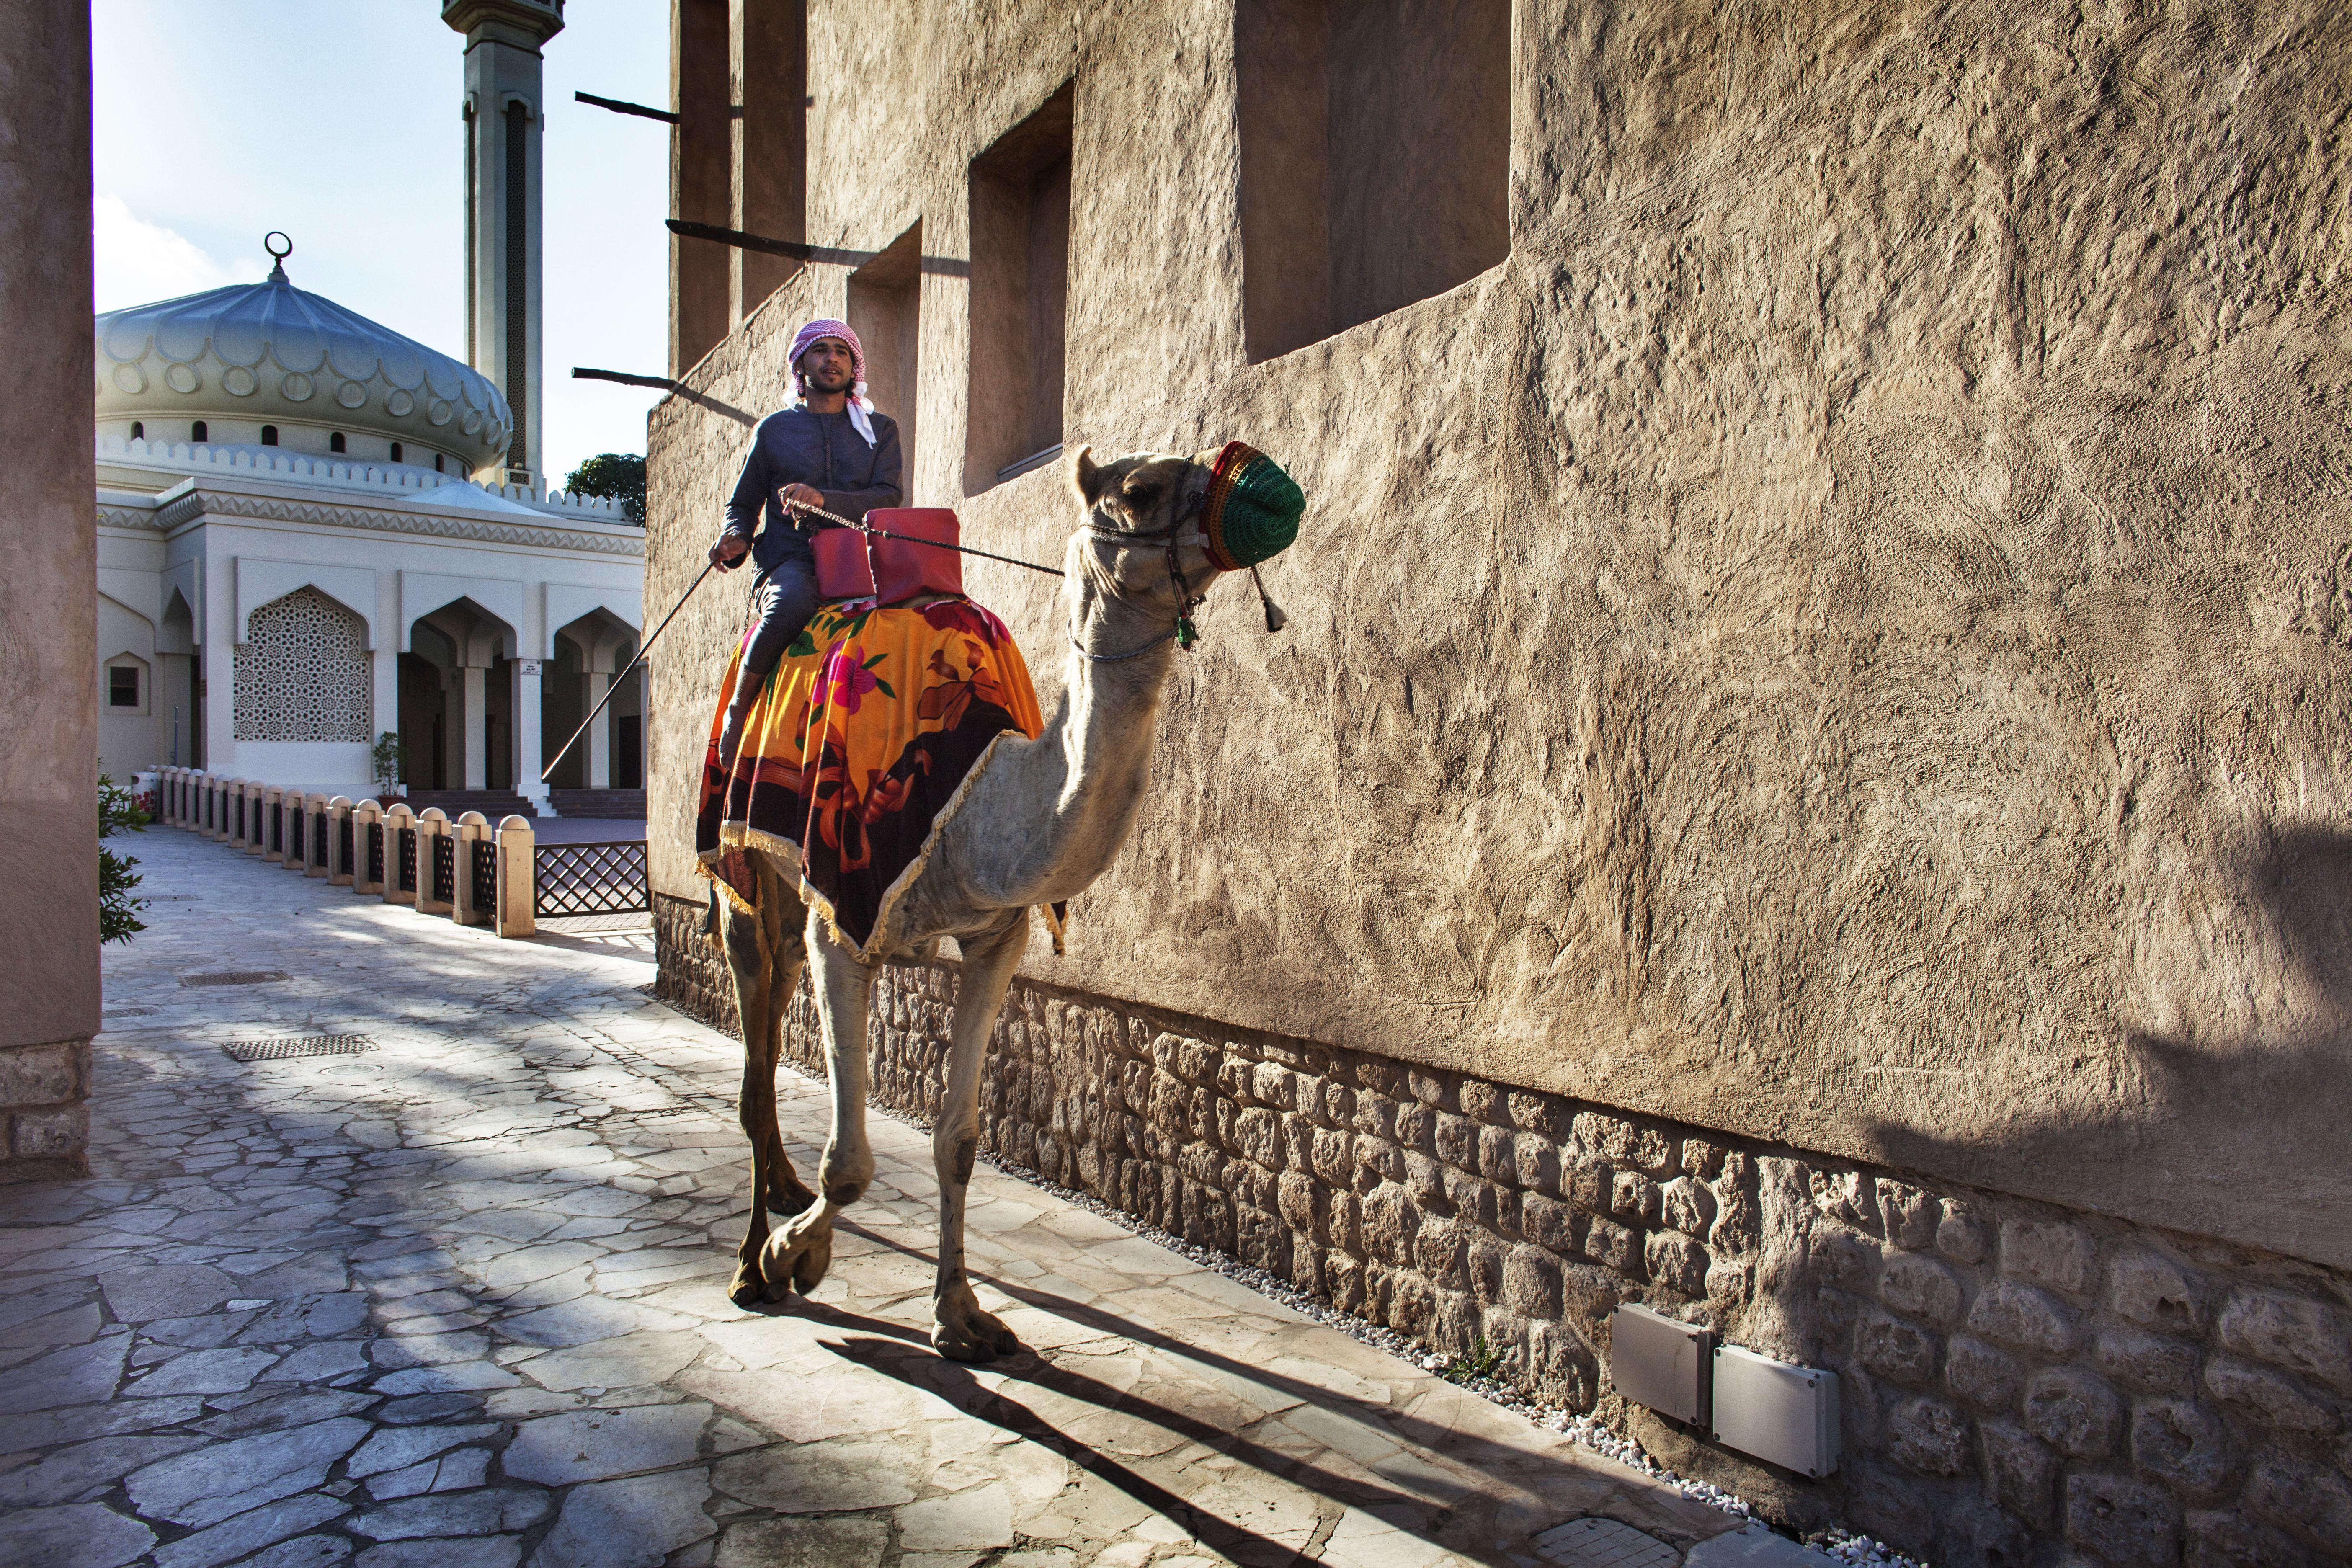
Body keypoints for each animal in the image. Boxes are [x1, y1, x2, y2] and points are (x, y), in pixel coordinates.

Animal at [715, 439, 1261, 1363]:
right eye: (1141, 488)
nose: (1247, 489)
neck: (976, 805)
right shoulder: (844, 919)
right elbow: (850, 1162)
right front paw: (794, 1258)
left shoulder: (996, 937)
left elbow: (960, 1139)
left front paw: (963, 1315)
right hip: (744, 868)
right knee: (755, 1057)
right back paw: (752, 1260)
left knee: (773, 1020)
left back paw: (782, 1198)